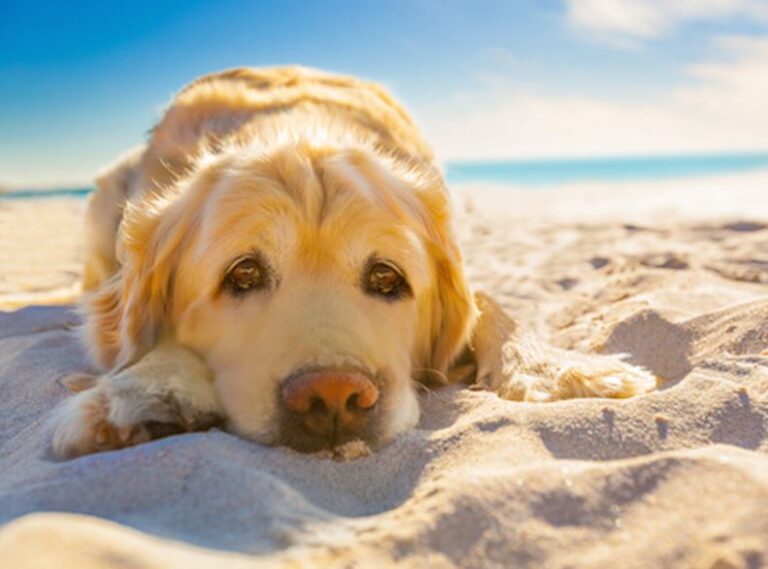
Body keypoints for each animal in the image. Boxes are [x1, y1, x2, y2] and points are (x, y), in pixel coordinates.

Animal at [51, 66, 656, 458]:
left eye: (386, 276)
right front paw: (141, 392)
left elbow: (488, 300)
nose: (333, 395)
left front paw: (560, 371)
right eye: (242, 273)